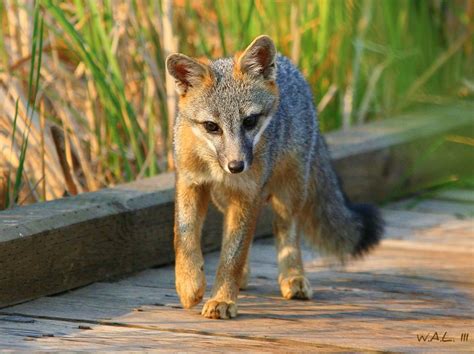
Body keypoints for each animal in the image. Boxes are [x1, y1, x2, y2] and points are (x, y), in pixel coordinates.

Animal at [166, 34, 382, 320]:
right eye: (212, 127)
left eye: (249, 121)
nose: (236, 166)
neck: (214, 165)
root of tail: (291, 67)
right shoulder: (190, 183)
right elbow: (184, 236)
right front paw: (189, 283)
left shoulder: (248, 195)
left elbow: (232, 256)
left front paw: (222, 298)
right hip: (226, 198)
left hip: (289, 193)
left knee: (286, 230)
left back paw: (293, 276)